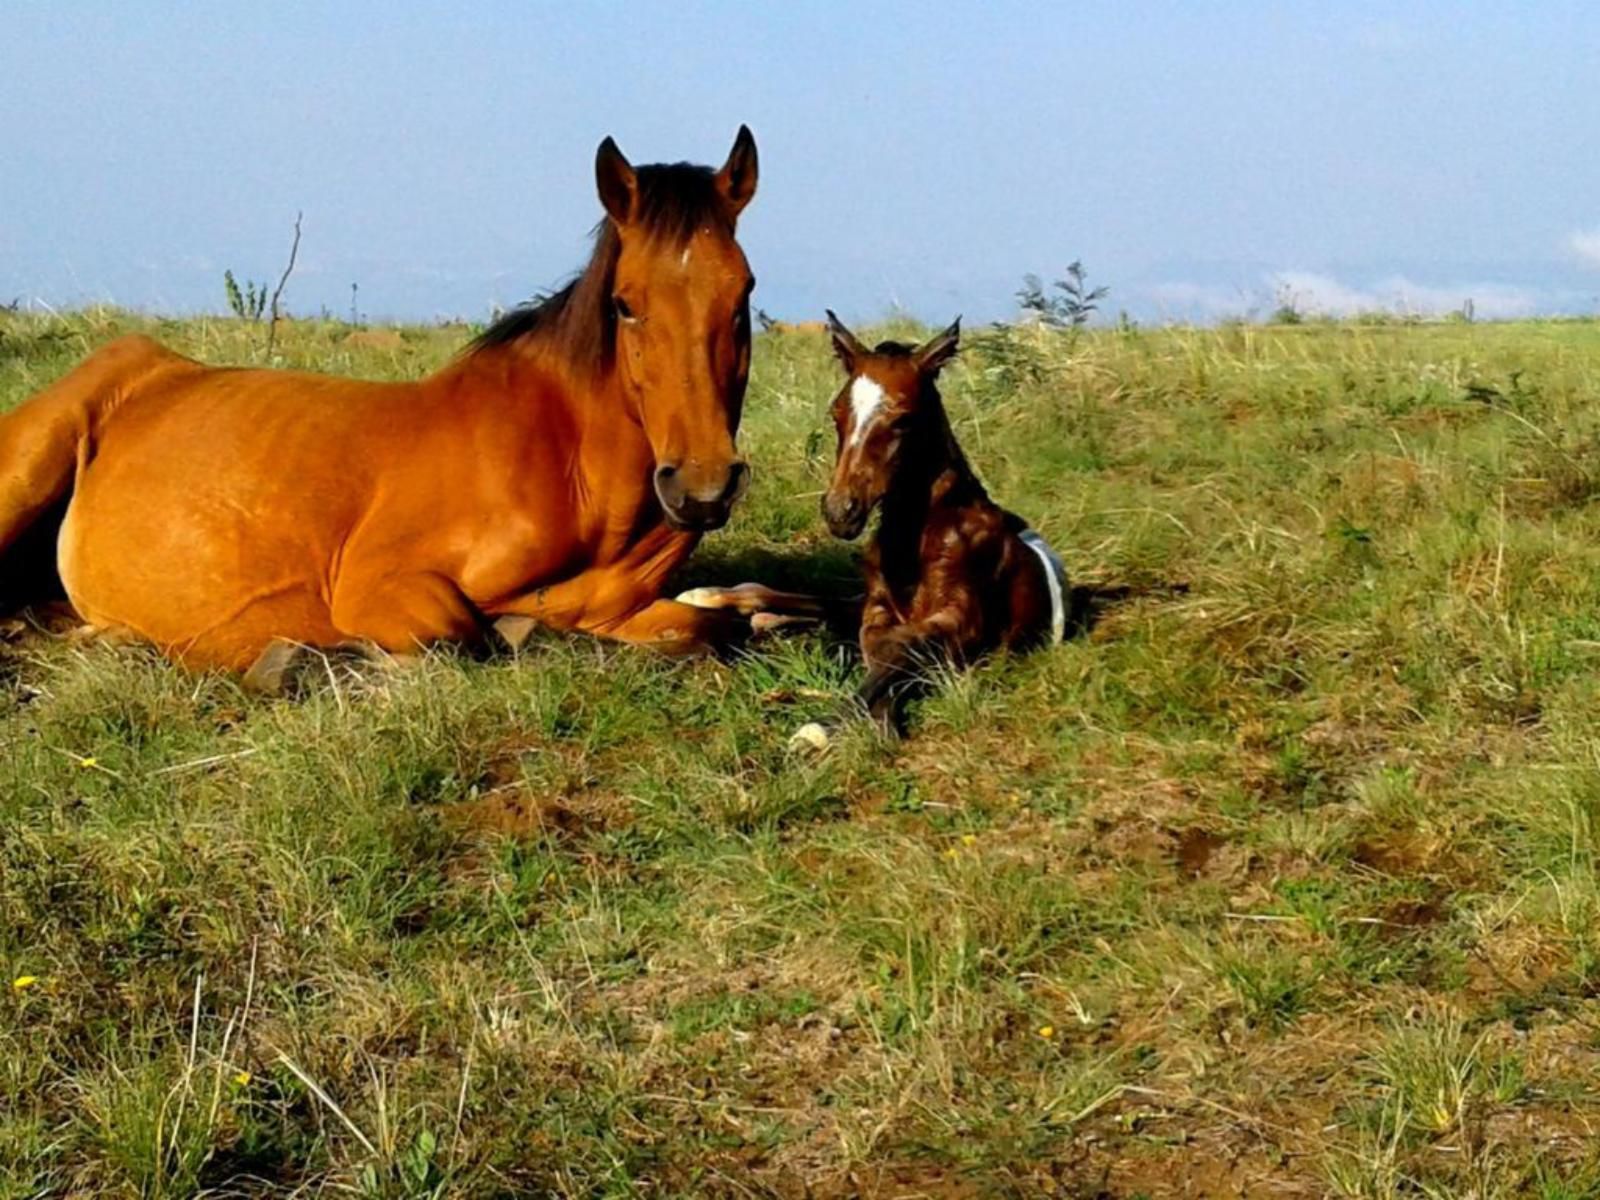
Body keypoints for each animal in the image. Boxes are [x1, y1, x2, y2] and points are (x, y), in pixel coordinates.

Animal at [0, 128, 800, 691]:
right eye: (626, 304)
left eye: (743, 293)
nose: (702, 486)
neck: (573, 471)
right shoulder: (380, 586)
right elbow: (469, 635)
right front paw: (305, 660)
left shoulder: (631, 605)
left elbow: (706, 629)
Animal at [819, 310, 1068, 732]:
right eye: (837, 413)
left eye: (903, 420)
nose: (840, 512)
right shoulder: (876, 609)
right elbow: (882, 648)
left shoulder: (963, 616)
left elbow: (904, 646)